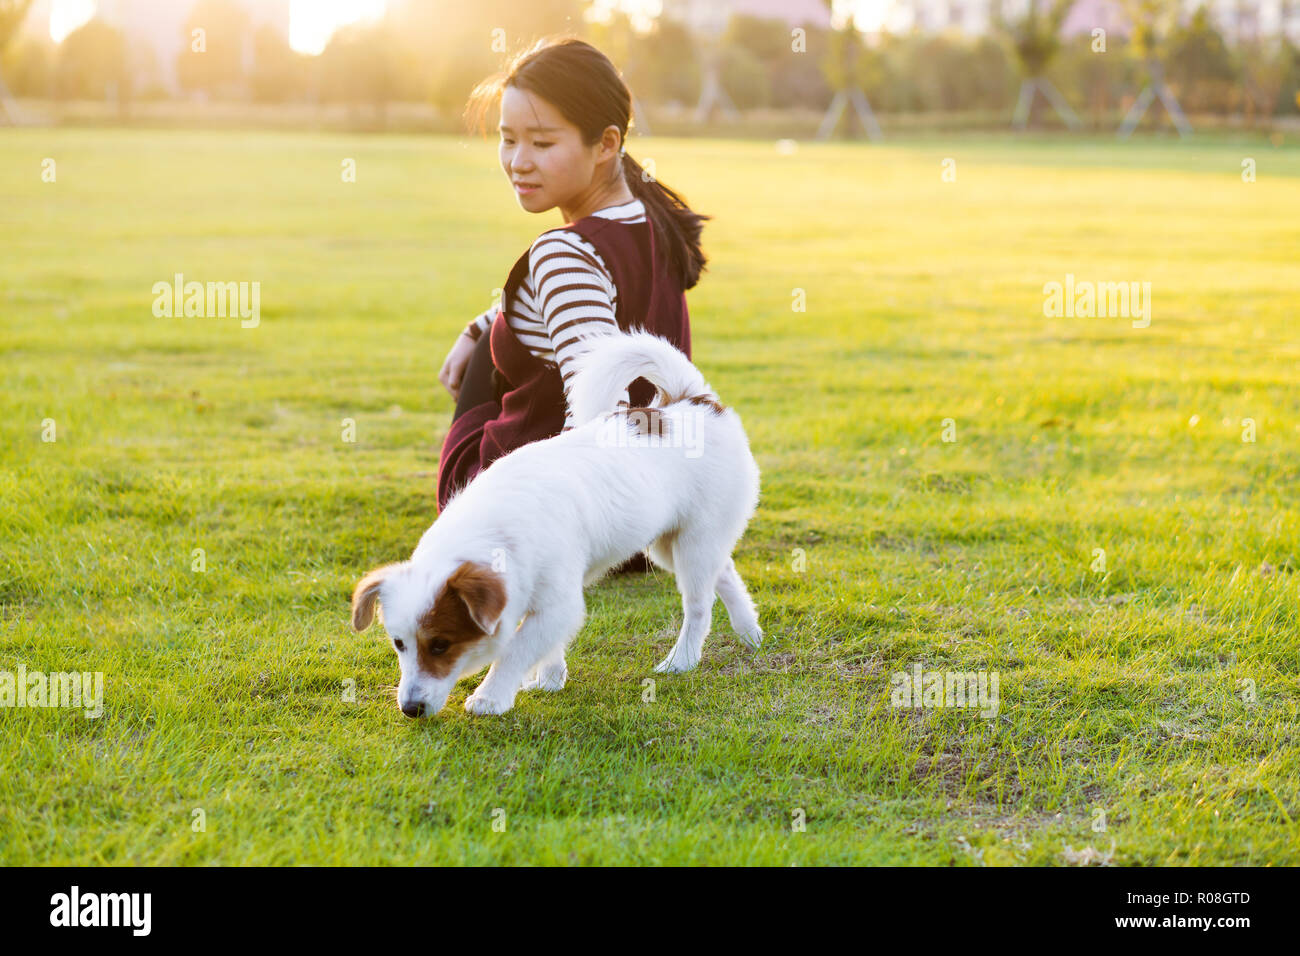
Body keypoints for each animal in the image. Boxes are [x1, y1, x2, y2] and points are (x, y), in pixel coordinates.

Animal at [353, 332, 759, 712]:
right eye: (399, 644)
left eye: (440, 645)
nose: (410, 709)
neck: (496, 531)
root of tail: (691, 401)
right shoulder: (544, 602)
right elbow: (545, 645)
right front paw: (549, 678)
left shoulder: (558, 604)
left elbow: (515, 649)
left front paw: (490, 697)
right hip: (666, 544)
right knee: (724, 571)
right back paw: (748, 630)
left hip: (694, 542)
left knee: (699, 605)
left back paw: (682, 660)